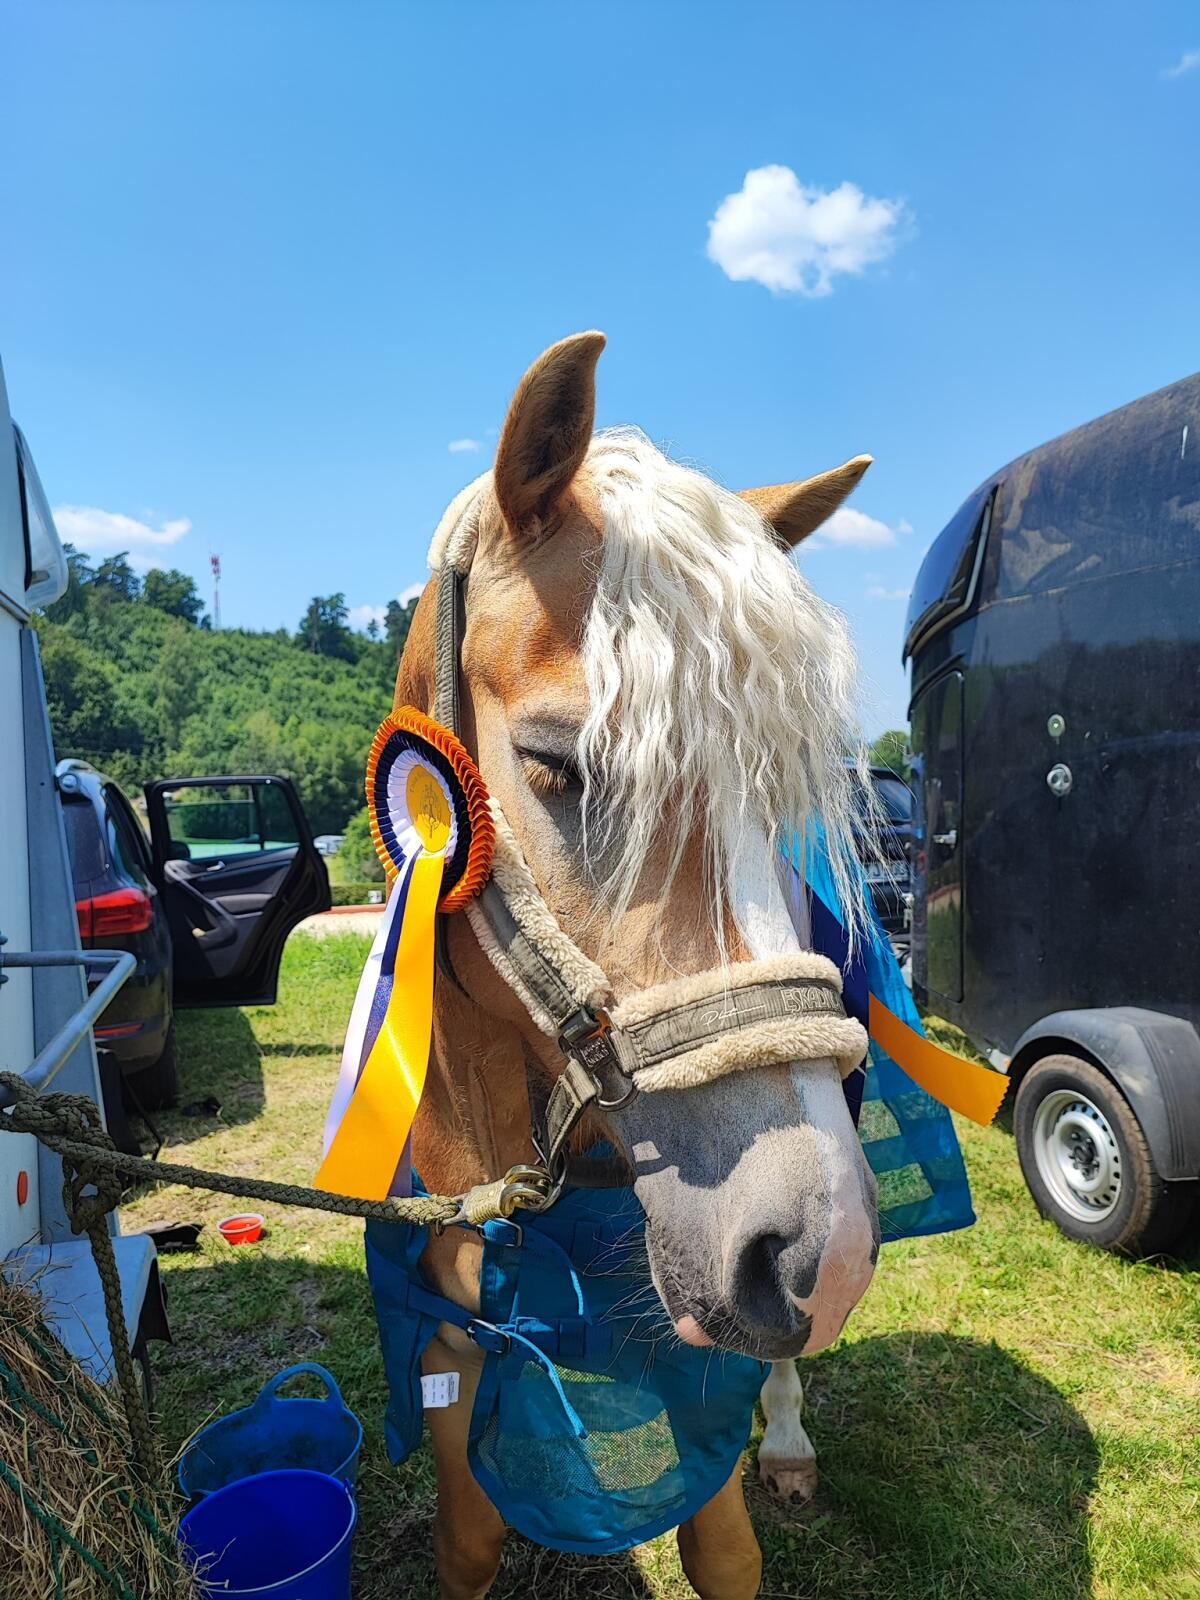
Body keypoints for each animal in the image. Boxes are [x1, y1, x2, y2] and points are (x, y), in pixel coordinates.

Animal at [392, 332, 879, 1599]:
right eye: (556, 764)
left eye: (785, 797)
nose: (816, 1251)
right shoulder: (452, 1333)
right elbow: (469, 1539)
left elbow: (723, 1545)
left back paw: (790, 1440)